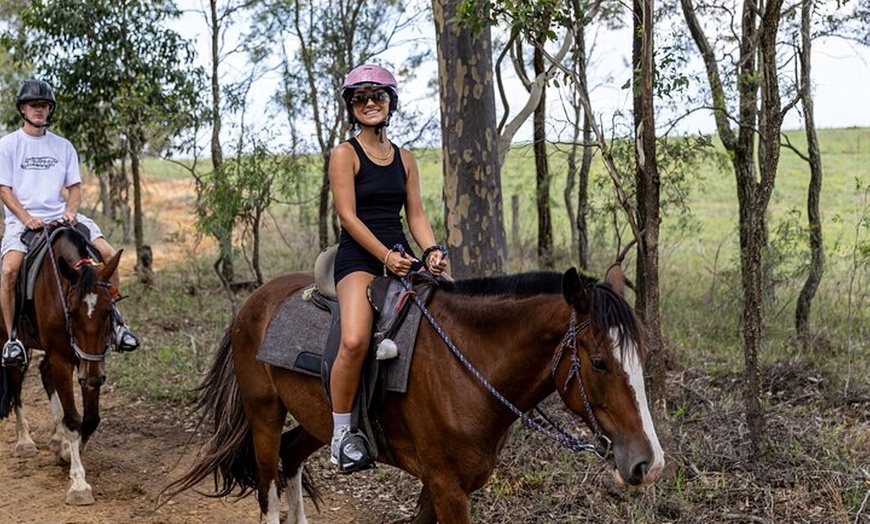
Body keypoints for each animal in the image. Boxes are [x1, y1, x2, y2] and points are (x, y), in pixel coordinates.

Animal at [0, 225, 122, 505]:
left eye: (109, 311)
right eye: (72, 313)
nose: (93, 380)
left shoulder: (90, 360)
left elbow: (91, 418)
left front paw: (67, 450)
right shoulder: (62, 358)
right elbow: (73, 419)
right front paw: (78, 483)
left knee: (44, 373)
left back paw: (56, 439)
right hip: (7, 336)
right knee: (15, 382)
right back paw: (24, 442)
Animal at [162, 263, 665, 523]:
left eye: (641, 356)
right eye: (599, 362)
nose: (650, 463)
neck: (468, 367)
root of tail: (254, 302)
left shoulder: (440, 486)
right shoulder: (447, 487)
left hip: (317, 420)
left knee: (292, 456)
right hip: (264, 414)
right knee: (268, 484)